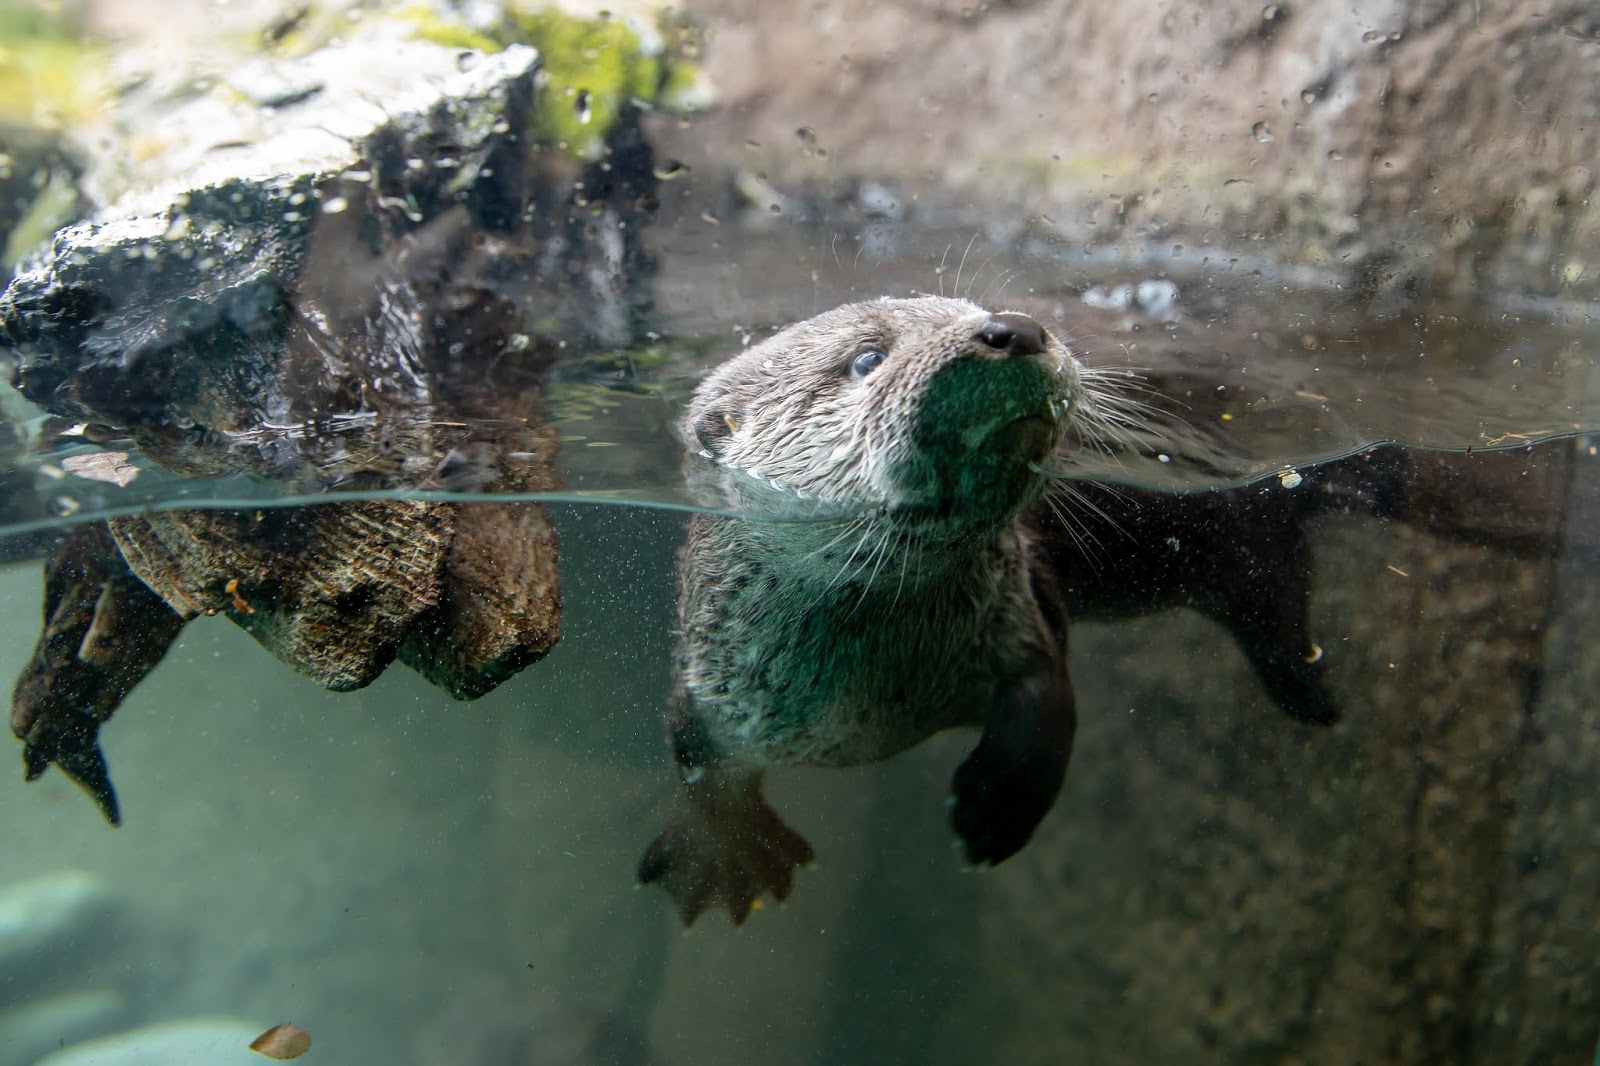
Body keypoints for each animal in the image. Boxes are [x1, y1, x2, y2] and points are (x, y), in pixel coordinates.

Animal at [638, 296, 1108, 925]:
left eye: (970, 308)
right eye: (867, 359)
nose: (1015, 328)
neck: (876, 689)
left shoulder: (1012, 618)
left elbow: (1048, 696)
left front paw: (996, 811)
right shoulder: (710, 681)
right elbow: (698, 766)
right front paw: (732, 852)